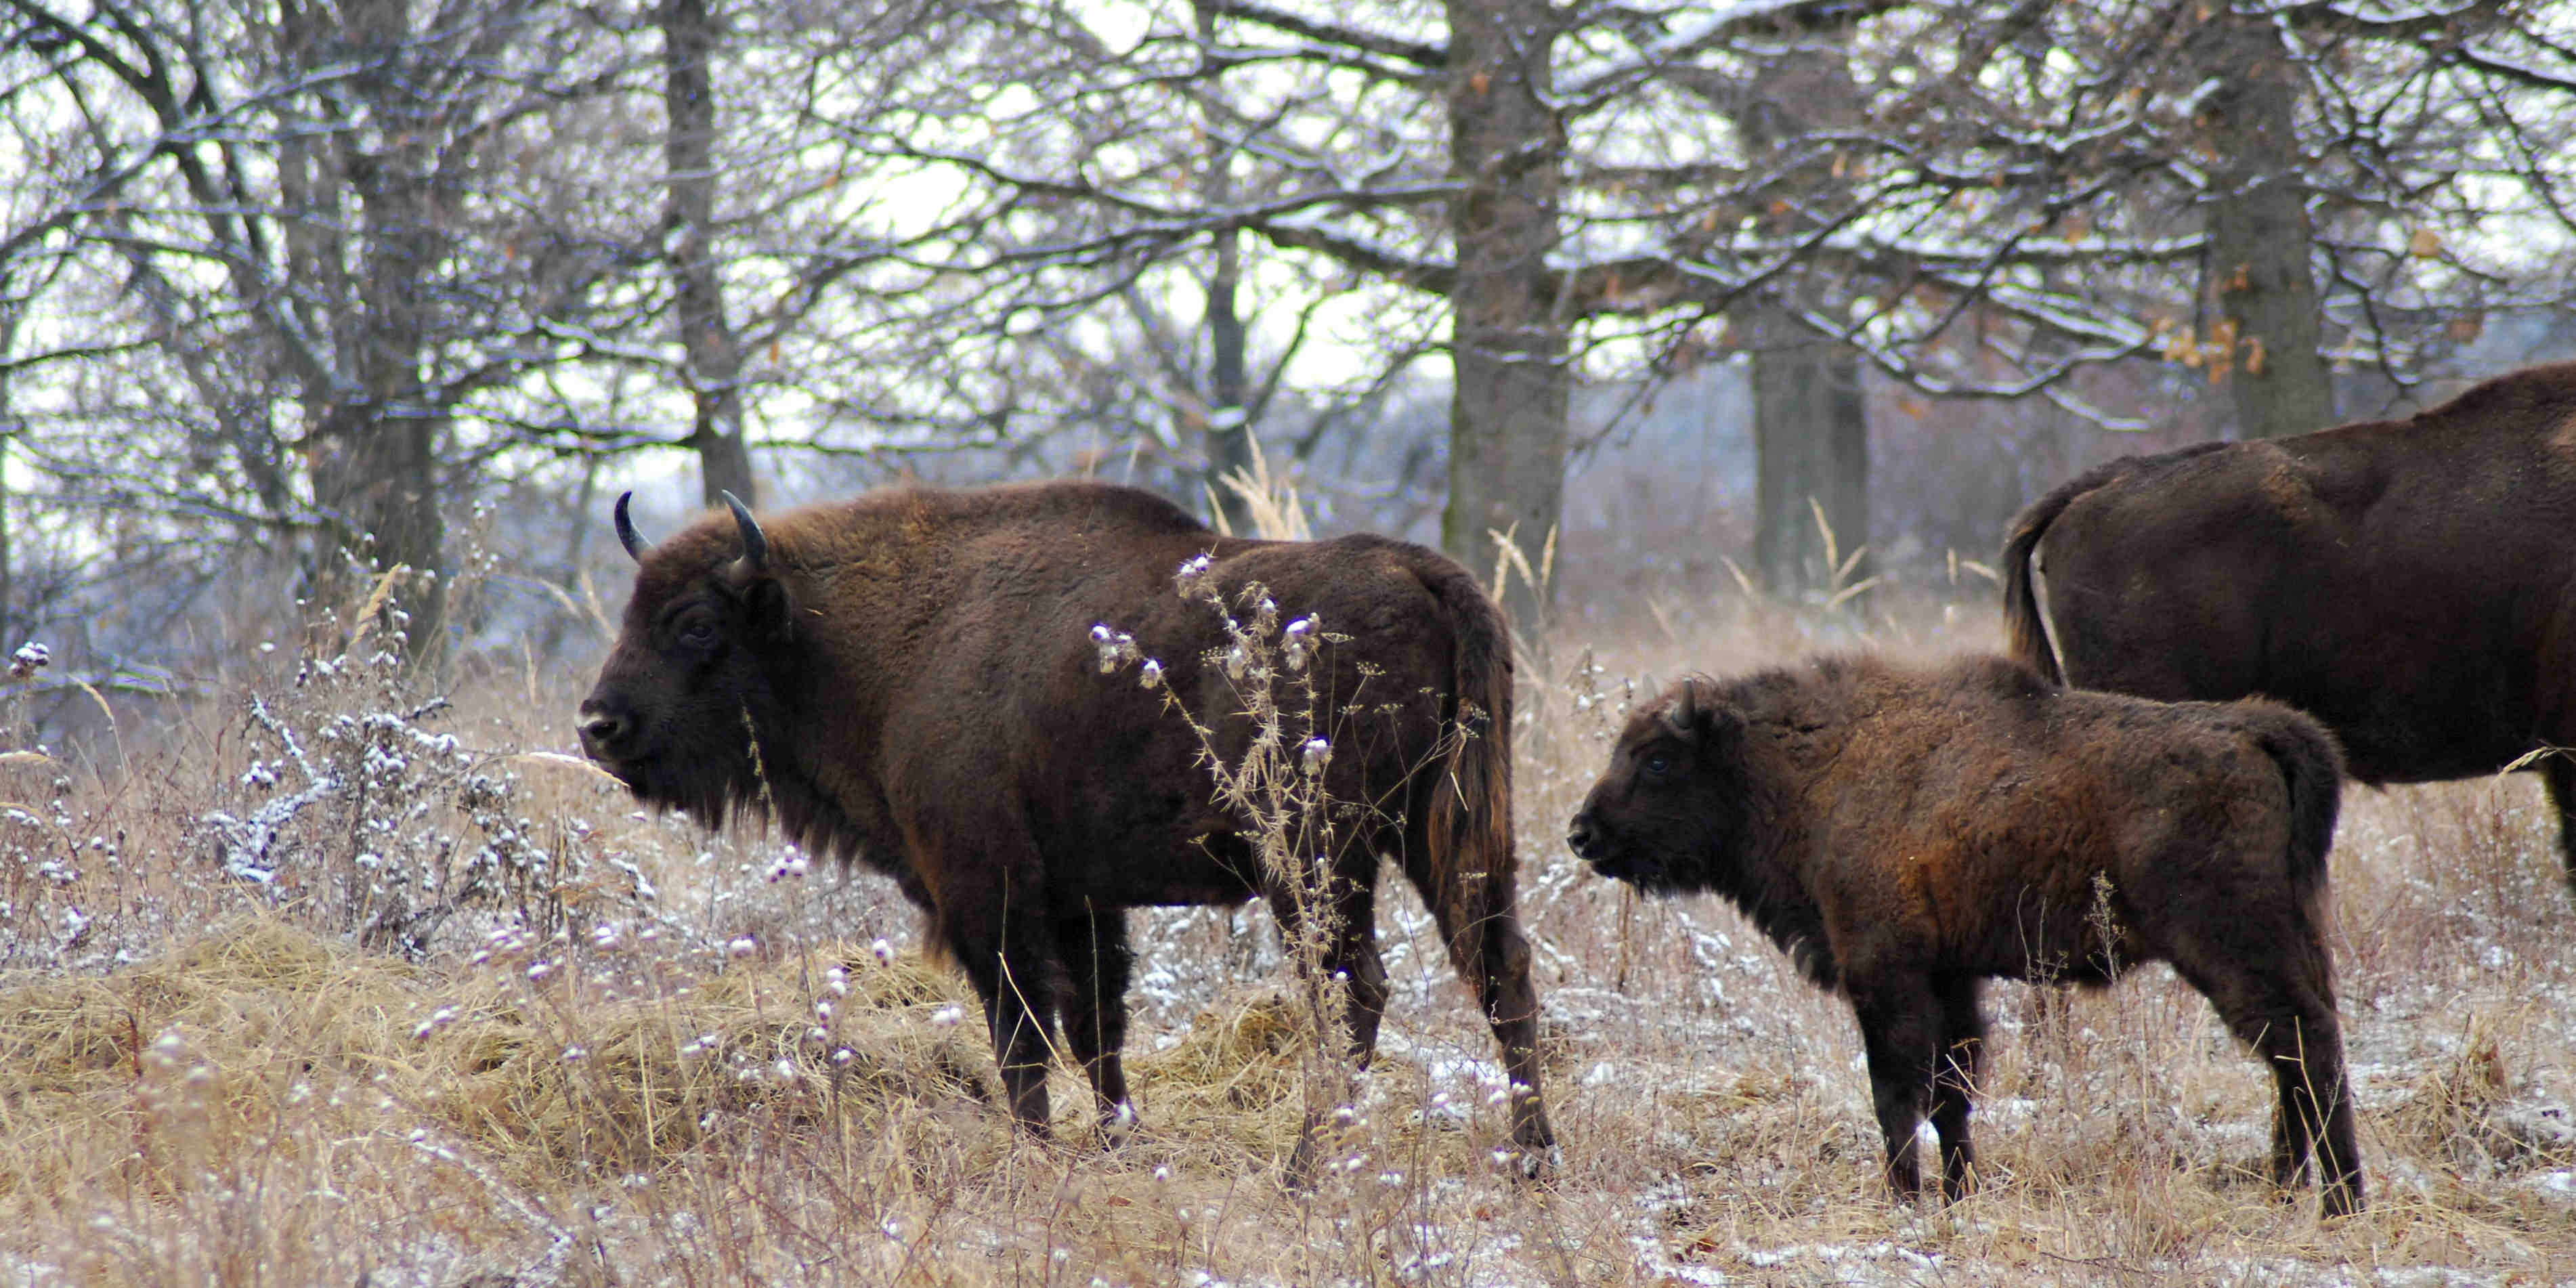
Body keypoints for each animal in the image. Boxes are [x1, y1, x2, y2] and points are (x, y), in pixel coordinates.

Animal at [577, 481, 1555, 1169]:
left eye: (696, 625)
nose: (597, 725)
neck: (867, 637)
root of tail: (1423, 574)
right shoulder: (1084, 903)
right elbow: (1096, 1030)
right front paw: (1120, 1147)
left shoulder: (987, 895)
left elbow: (1022, 1038)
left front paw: (1037, 1156)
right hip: (1452, 838)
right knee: (1500, 971)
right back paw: (1531, 1163)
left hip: (1316, 861)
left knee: (1357, 994)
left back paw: (1307, 1170)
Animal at [1555, 659, 2359, 1210]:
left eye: (1658, 759)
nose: (1582, 833)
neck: (1806, 767)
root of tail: (2258, 727)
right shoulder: (1948, 975)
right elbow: (1951, 1089)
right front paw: (1958, 1191)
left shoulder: (1884, 969)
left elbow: (1897, 1088)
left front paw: (1904, 1196)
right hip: (2291, 939)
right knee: (2297, 1054)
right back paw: (2288, 1189)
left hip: (2229, 946)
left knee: (2304, 1046)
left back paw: (2341, 1199)